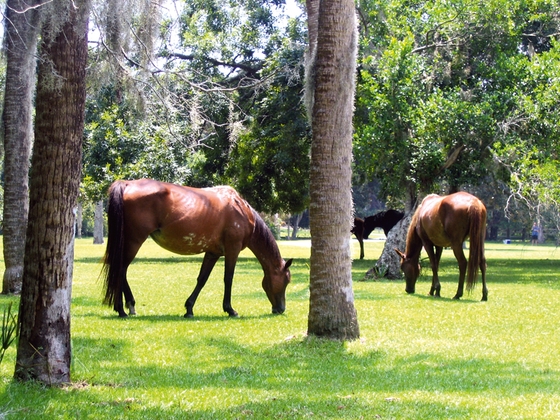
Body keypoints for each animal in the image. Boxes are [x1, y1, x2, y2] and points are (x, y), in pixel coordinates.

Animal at [101, 178, 294, 318]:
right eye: (286, 280)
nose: (281, 309)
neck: (239, 208)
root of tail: (127, 184)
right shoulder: (232, 249)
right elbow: (228, 279)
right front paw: (230, 309)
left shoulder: (213, 252)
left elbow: (202, 279)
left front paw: (189, 309)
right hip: (134, 241)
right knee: (120, 269)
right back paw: (122, 309)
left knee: (121, 271)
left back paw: (130, 306)